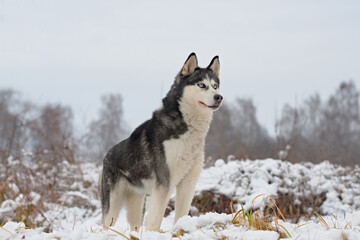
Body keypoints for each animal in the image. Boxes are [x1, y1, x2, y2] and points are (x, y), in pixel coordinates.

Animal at [99, 52, 222, 231]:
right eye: (201, 85)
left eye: (215, 86)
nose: (219, 97)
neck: (187, 127)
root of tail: (107, 154)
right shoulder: (164, 183)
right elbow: (155, 219)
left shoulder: (188, 183)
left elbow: (181, 214)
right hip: (112, 207)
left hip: (137, 204)